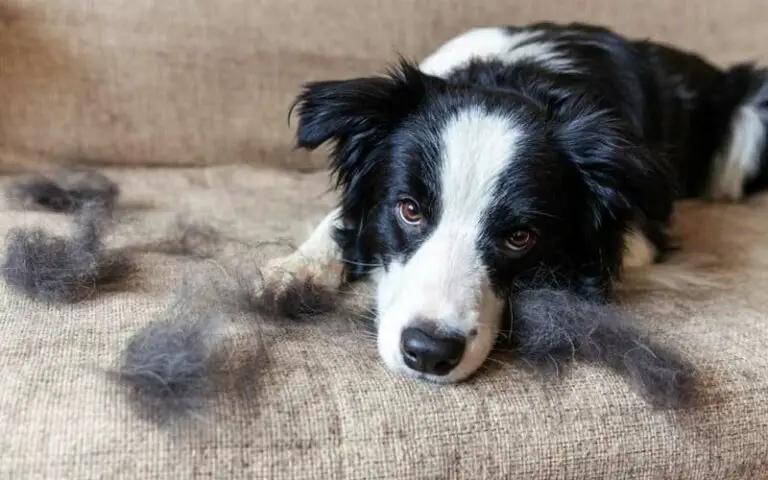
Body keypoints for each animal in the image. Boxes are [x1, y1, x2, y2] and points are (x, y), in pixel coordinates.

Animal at [262, 22, 768, 384]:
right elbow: (341, 221)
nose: (429, 354)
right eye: (409, 210)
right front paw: (298, 269)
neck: (517, 80)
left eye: (520, 237)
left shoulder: (641, 234)